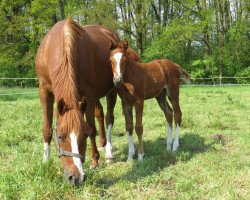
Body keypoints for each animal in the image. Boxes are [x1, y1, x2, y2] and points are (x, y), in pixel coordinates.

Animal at [35, 19, 121, 185]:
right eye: (60, 137)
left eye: (84, 136)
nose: (75, 177)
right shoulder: (44, 92)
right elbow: (47, 129)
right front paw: (45, 161)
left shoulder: (88, 94)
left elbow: (92, 127)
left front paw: (94, 161)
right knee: (100, 114)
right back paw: (102, 144)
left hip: (112, 90)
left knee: (109, 119)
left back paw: (108, 152)